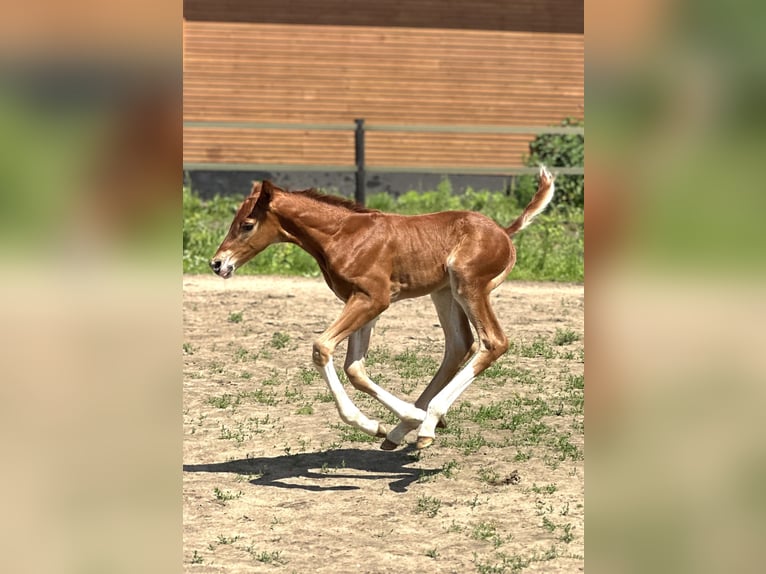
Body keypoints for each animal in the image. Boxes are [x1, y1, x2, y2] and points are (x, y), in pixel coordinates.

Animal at [212, 166, 560, 450]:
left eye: (247, 225)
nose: (217, 264)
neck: (342, 235)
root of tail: (504, 232)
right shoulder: (363, 302)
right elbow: (355, 369)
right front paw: (391, 423)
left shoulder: (373, 299)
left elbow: (322, 348)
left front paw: (395, 420)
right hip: (445, 293)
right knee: (460, 345)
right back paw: (408, 427)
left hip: (469, 285)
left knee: (493, 342)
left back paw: (428, 421)